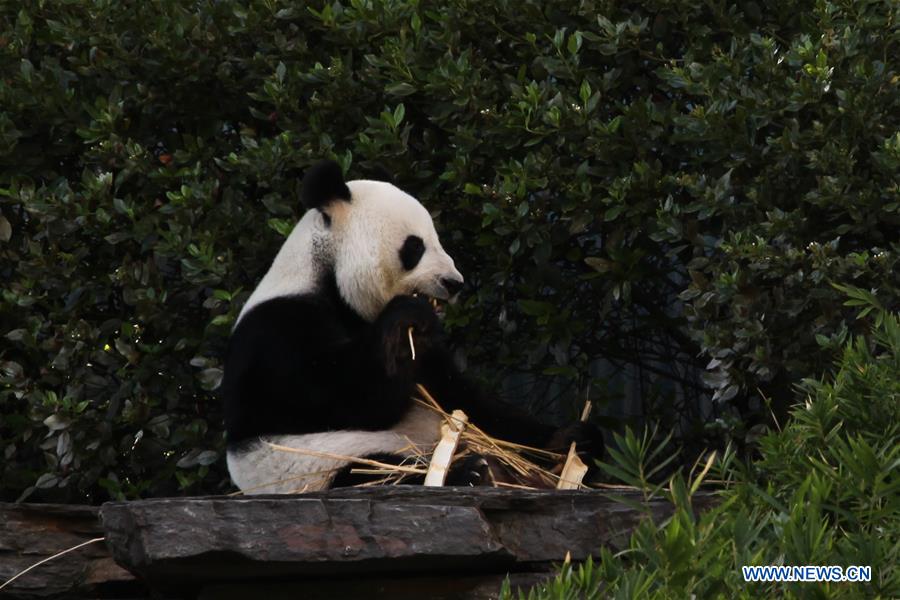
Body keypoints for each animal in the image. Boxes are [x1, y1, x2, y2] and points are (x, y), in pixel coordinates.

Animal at [223, 160, 598, 493]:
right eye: (415, 246)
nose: (454, 282)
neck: (325, 275)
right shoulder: (279, 331)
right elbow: (347, 399)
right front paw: (403, 320)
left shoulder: (431, 358)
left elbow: (466, 399)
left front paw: (569, 439)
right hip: (316, 464)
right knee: (372, 472)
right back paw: (470, 472)